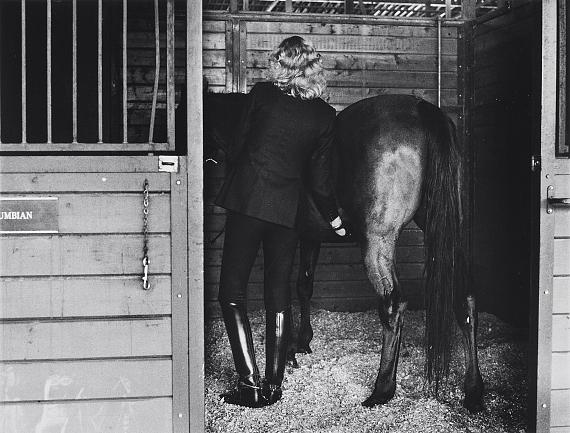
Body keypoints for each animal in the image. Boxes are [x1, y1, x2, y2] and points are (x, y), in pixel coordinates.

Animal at [190, 89, 480, 410]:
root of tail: (420, 109)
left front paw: (292, 348)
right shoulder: (308, 237)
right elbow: (304, 285)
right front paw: (301, 342)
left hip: (378, 242)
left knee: (393, 305)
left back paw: (382, 388)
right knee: (465, 298)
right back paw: (473, 390)